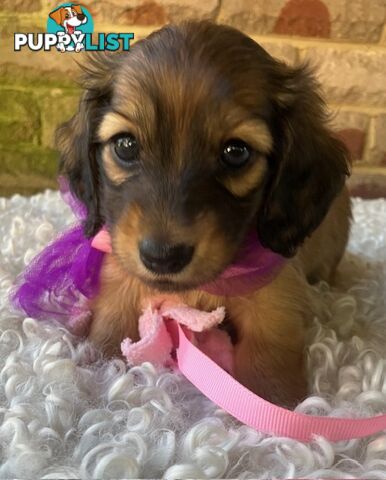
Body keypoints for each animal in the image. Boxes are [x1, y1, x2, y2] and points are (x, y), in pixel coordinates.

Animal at [56, 21, 350, 404]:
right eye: (125, 144)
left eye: (236, 152)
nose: (162, 257)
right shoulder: (120, 274)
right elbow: (111, 324)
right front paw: (98, 375)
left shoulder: (277, 297)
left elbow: (269, 361)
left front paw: (271, 407)